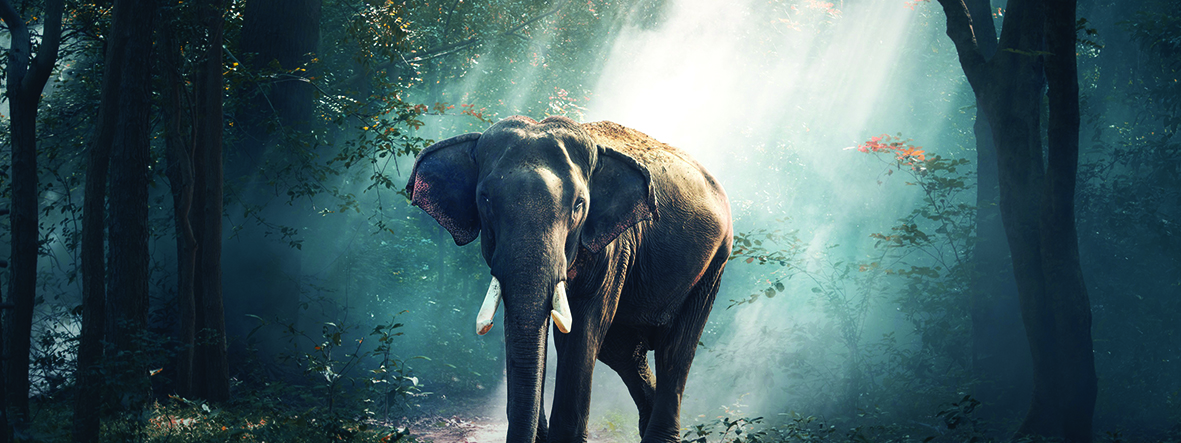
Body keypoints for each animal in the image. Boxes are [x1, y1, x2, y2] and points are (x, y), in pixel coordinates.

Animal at [406, 115, 732, 443]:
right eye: (484, 199)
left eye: (578, 205)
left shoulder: (615, 247)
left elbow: (583, 328)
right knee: (624, 352)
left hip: (714, 264)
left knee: (675, 350)